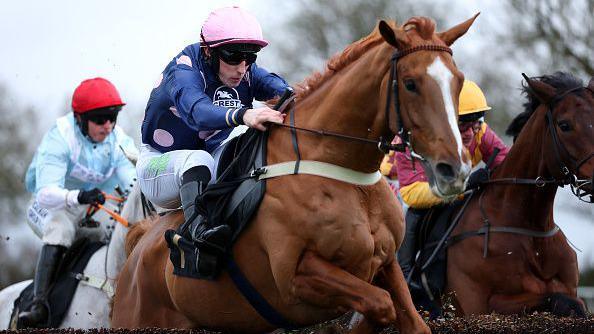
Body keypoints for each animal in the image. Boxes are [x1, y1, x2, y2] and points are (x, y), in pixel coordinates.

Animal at [113, 15, 478, 334]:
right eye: (411, 84)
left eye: (458, 81)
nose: (455, 168)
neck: (340, 170)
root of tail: (138, 246)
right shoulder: (296, 278)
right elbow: (380, 305)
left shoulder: (386, 263)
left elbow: (403, 316)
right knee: (193, 161)